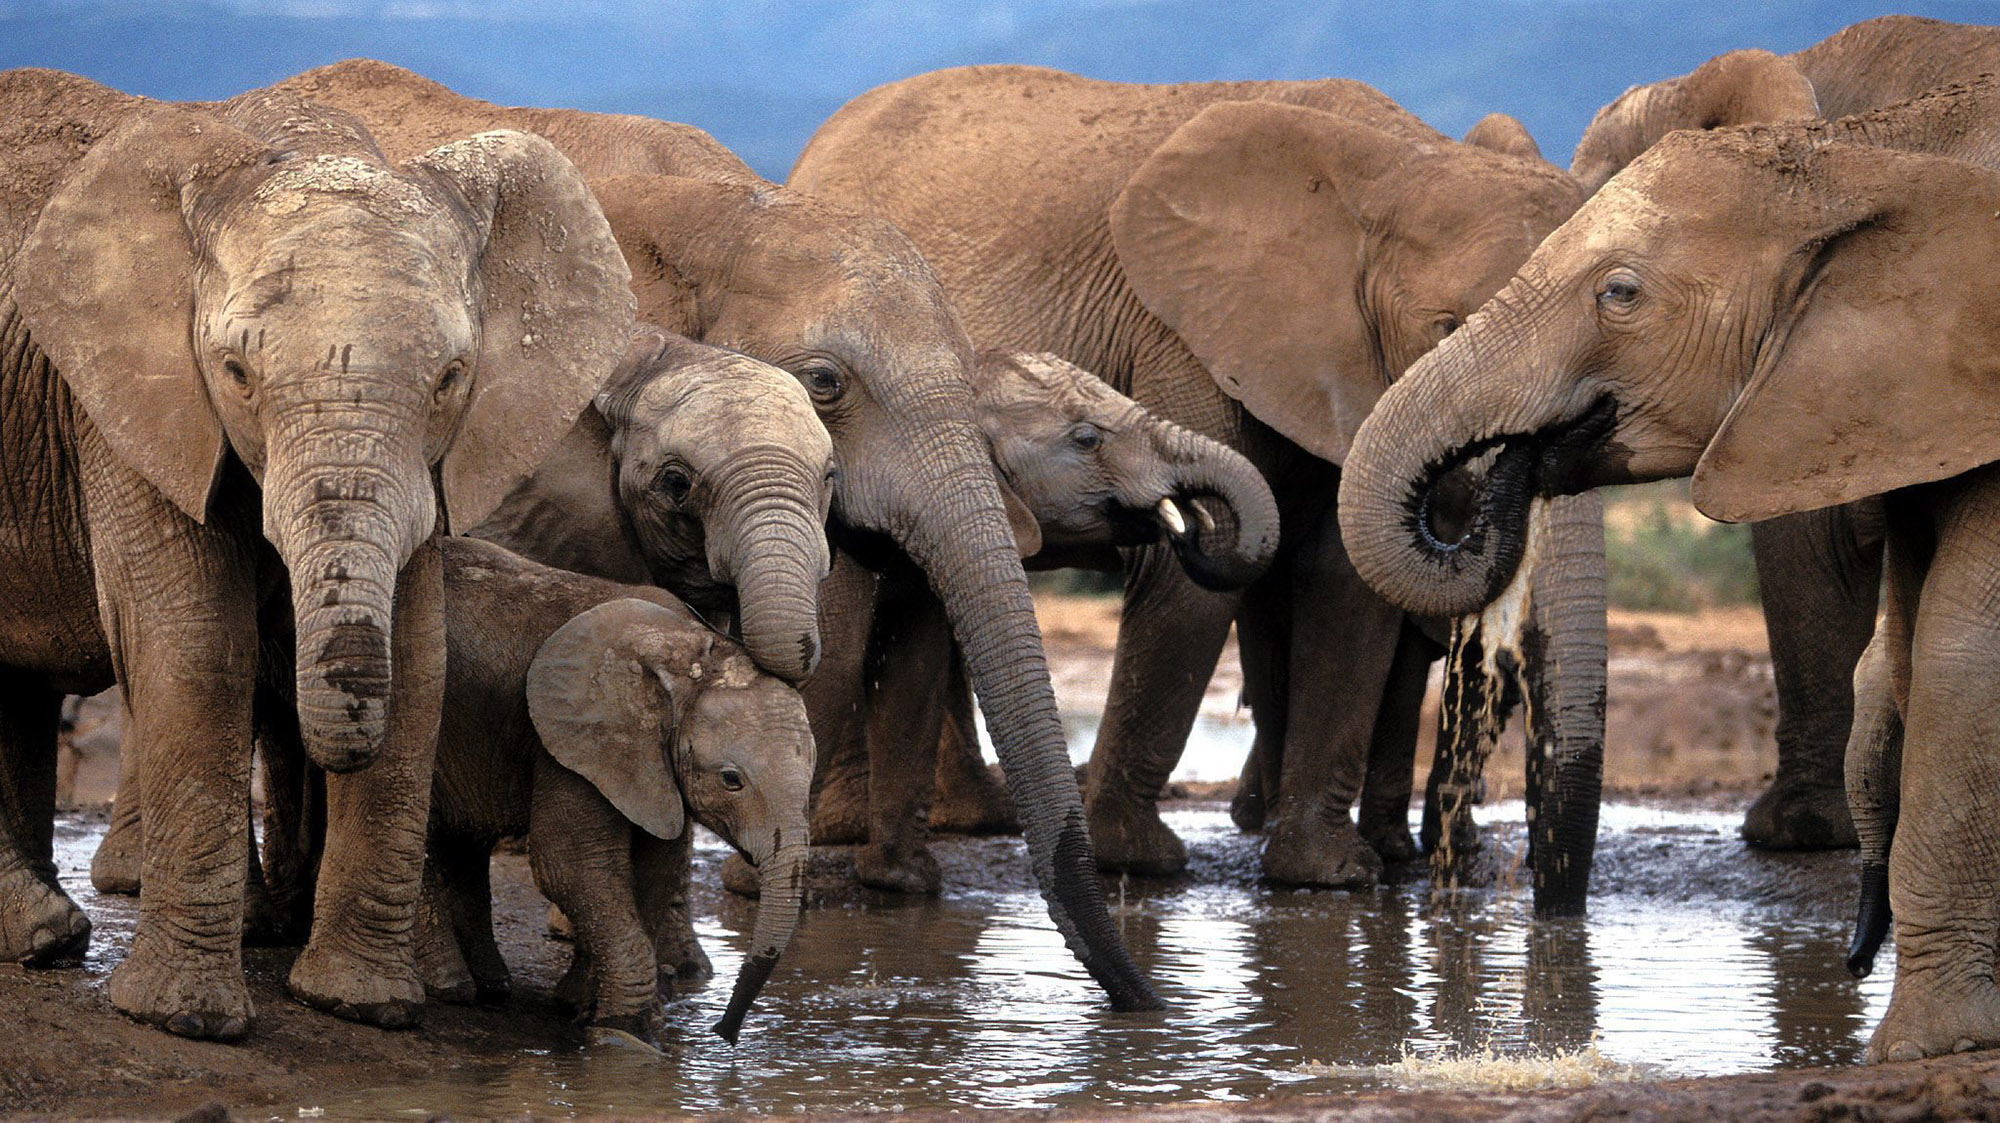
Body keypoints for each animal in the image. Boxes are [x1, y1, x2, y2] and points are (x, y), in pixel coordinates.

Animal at [0, 69, 634, 1038]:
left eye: (451, 377)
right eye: (235, 372)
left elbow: (418, 656)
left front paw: (356, 1002)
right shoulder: (123, 405)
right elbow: (192, 642)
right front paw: (184, 1019)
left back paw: (55, 936)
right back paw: (45, 936)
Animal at [412, 537, 811, 1049]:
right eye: (731, 780)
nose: (723, 1033)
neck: (686, 652)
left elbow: (655, 868)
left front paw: (579, 1004)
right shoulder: (572, 740)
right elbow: (573, 865)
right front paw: (627, 1031)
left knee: (464, 844)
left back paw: (491, 986)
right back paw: (452, 988)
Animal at [1335, 121, 2000, 1061]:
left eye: (1621, 293)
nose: (1851, 963)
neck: (1869, 159)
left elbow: (1963, 654)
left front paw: (1916, 1049)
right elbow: (1912, 651)